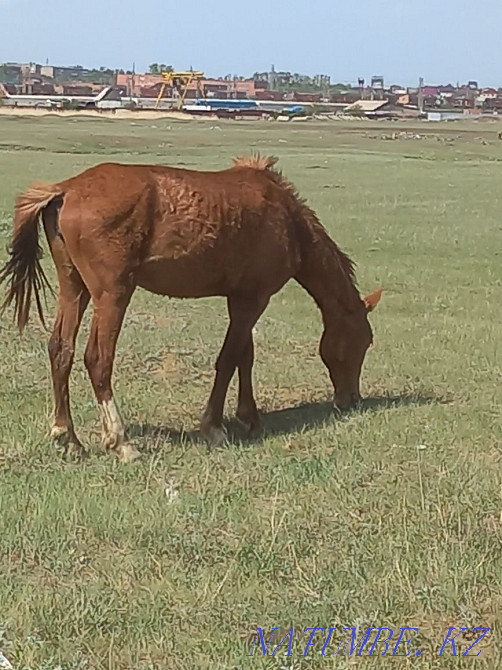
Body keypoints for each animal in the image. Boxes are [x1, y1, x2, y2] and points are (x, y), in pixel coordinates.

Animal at [0, 154, 382, 462]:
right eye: (363, 343)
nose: (351, 399)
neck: (287, 219)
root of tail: (64, 190)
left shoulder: (241, 297)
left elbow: (244, 356)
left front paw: (249, 417)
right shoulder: (253, 299)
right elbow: (229, 359)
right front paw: (214, 427)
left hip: (73, 287)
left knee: (60, 350)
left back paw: (68, 437)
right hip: (112, 294)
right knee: (97, 359)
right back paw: (121, 442)